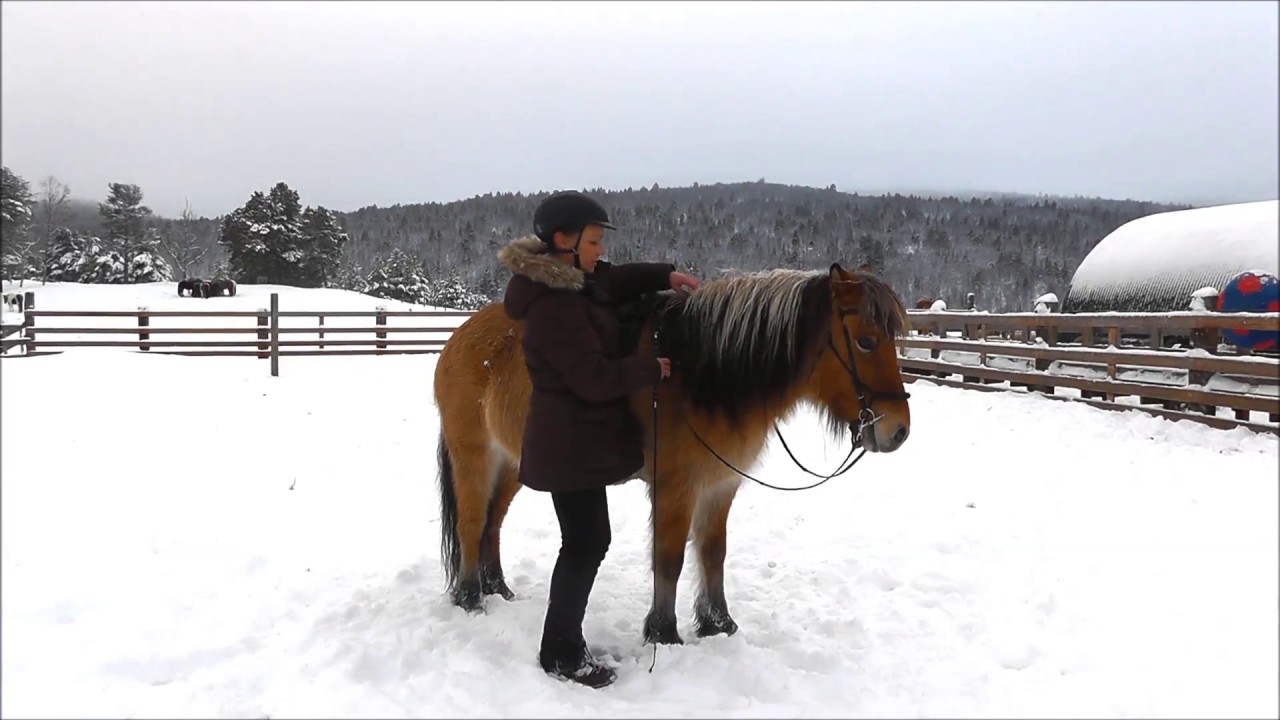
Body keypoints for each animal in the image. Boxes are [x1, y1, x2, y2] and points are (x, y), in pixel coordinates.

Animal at [432, 261, 913, 645]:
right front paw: (663, 632)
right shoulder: (675, 487)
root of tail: (457, 339)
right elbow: (669, 559)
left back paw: (497, 587)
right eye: (866, 342)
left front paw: (718, 623)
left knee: (492, 522)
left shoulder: (720, 485)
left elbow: (713, 553)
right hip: (474, 455)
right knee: (472, 521)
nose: (898, 430)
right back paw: (471, 596)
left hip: (515, 462)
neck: (697, 374)